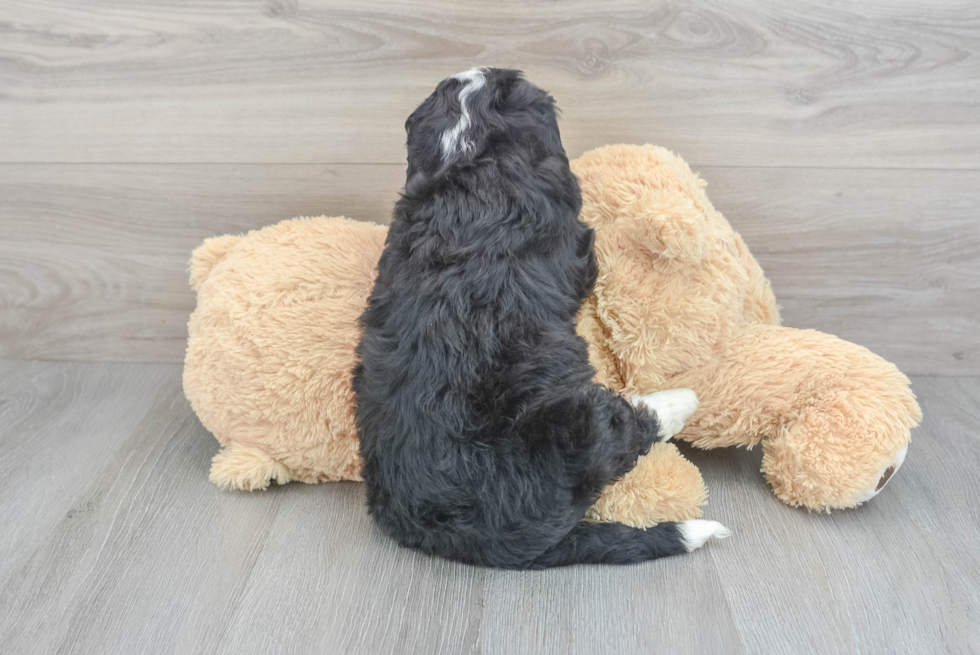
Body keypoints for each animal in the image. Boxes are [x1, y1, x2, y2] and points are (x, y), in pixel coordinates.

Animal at [352, 68, 728, 568]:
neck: (470, 157)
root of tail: (469, 538)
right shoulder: (574, 245)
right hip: (573, 429)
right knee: (626, 430)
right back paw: (679, 400)